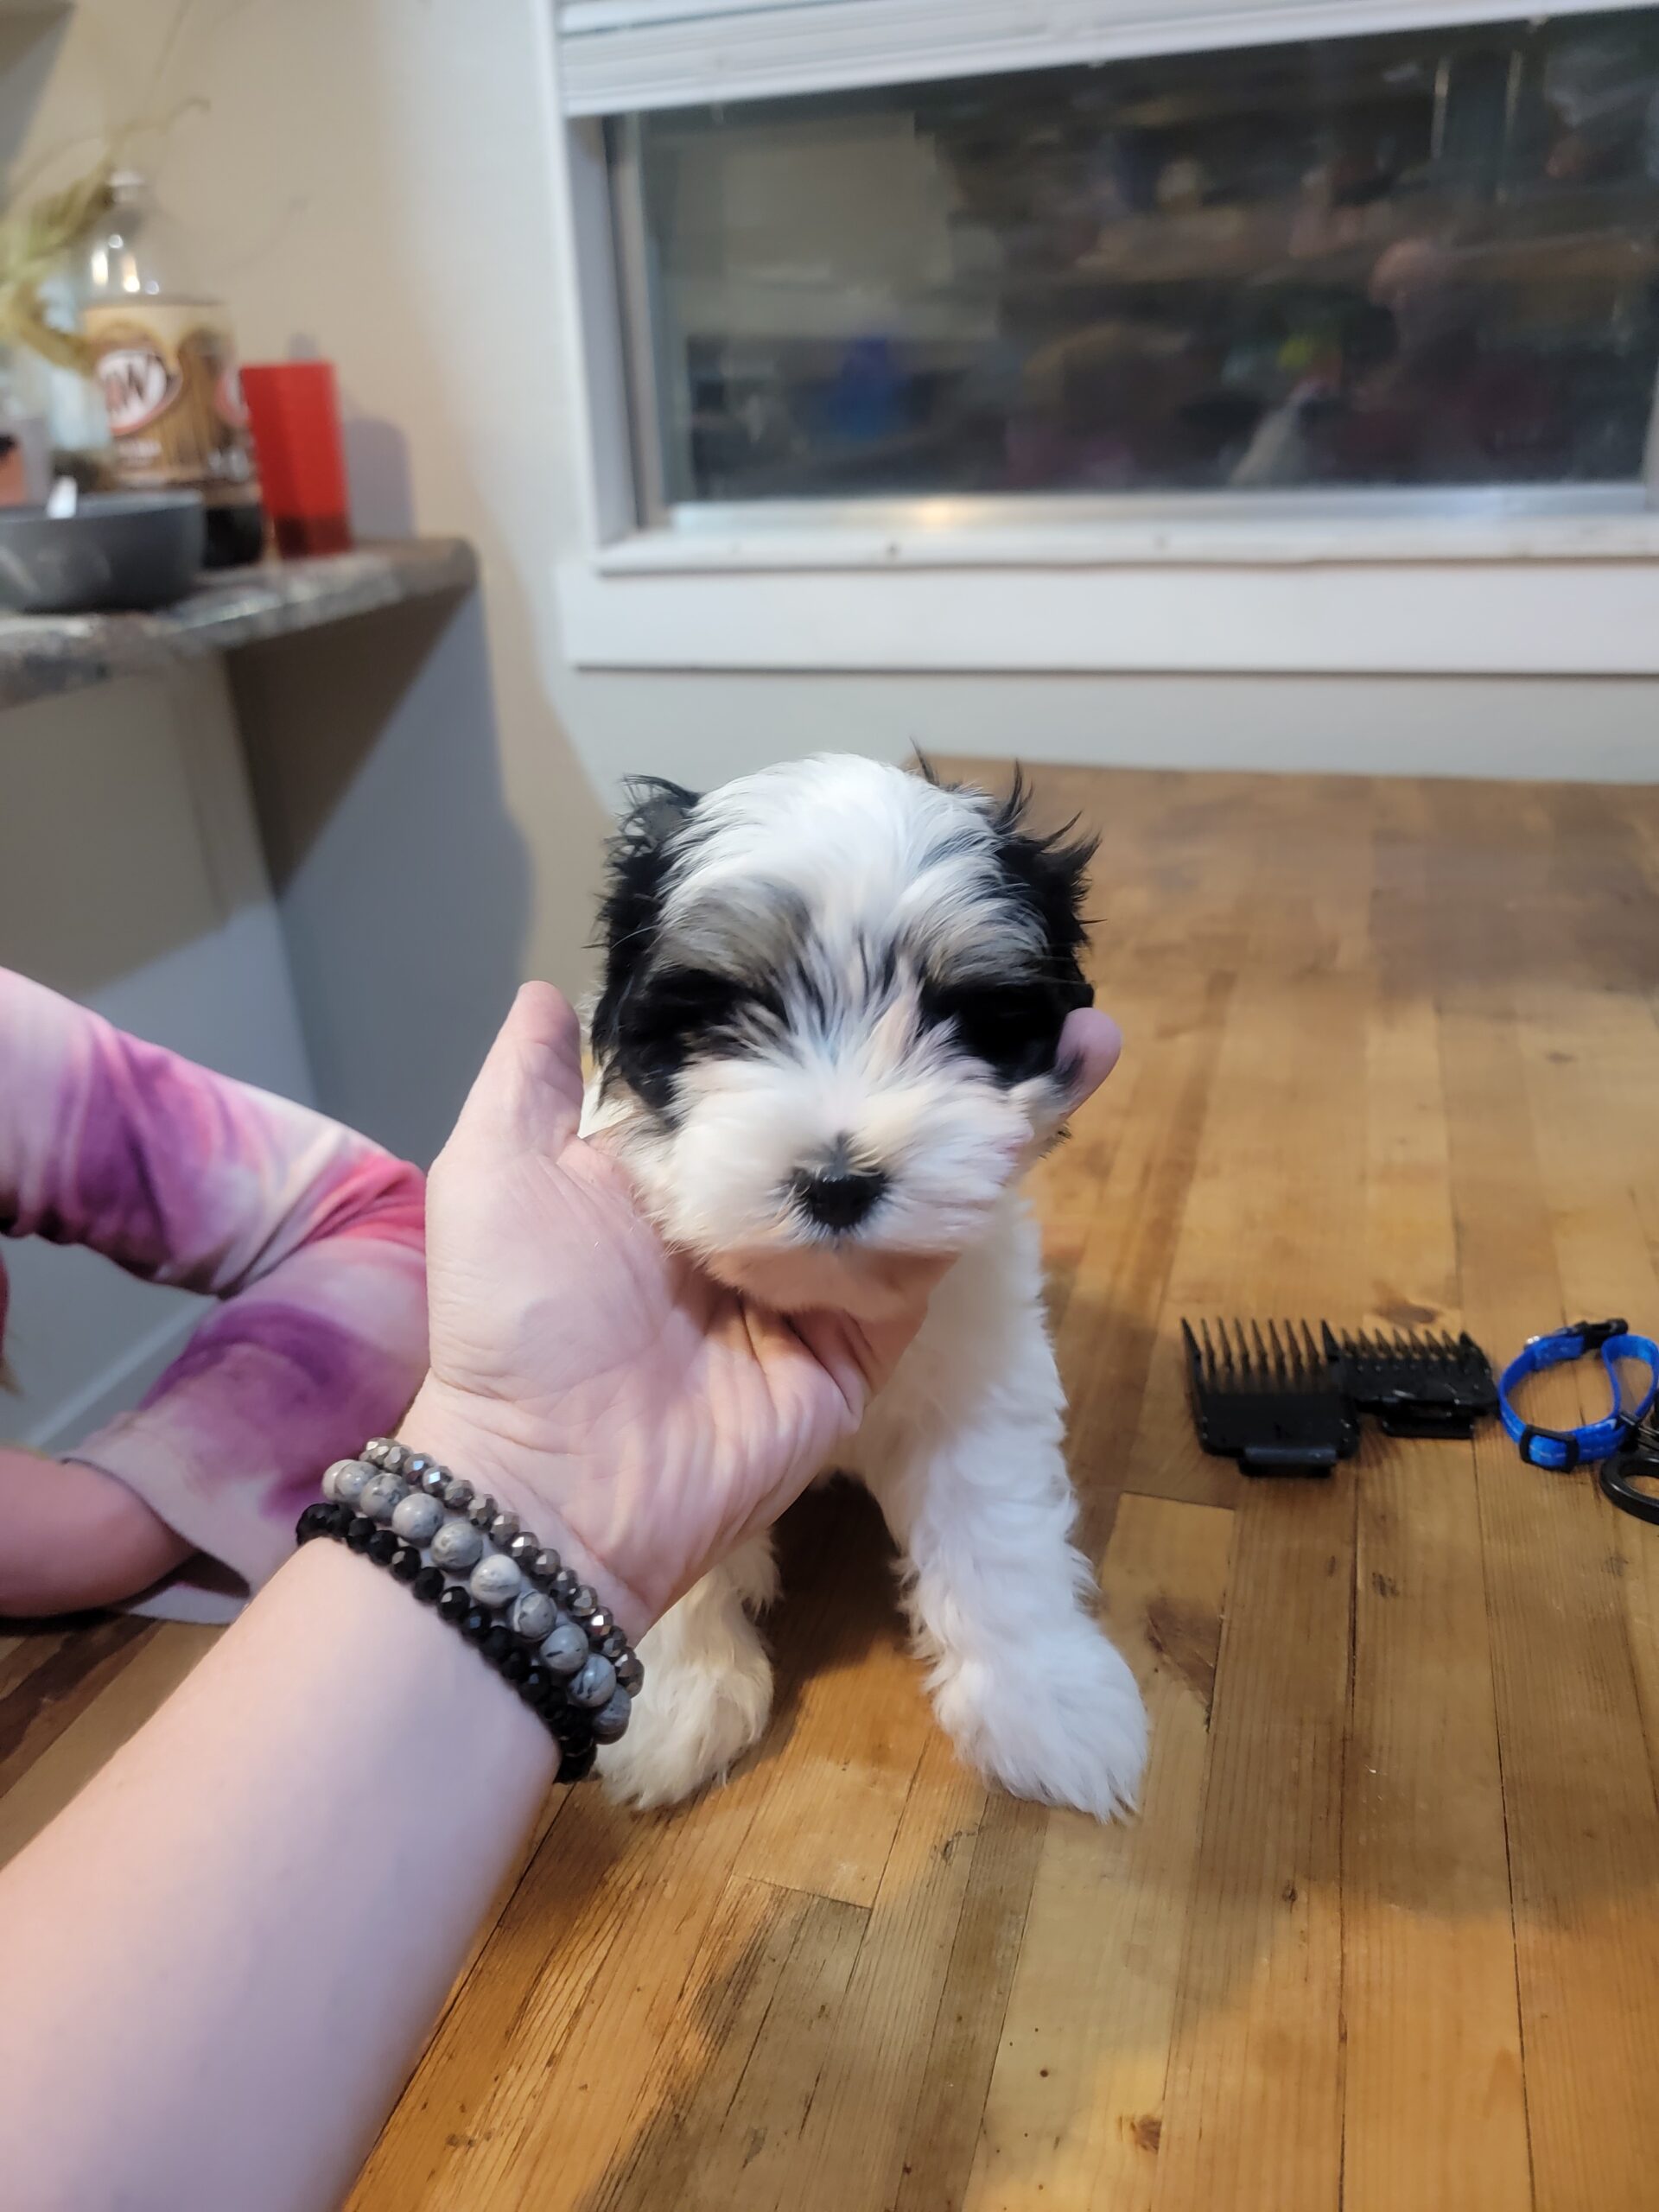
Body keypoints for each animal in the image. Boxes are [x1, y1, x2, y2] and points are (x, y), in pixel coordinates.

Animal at [593, 760, 1150, 1814]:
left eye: (956, 1015)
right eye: (725, 1014)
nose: (838, 1181)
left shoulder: (978, 1366)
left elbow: (996, 1527)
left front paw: (1044, 1696)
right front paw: (677, 1701)